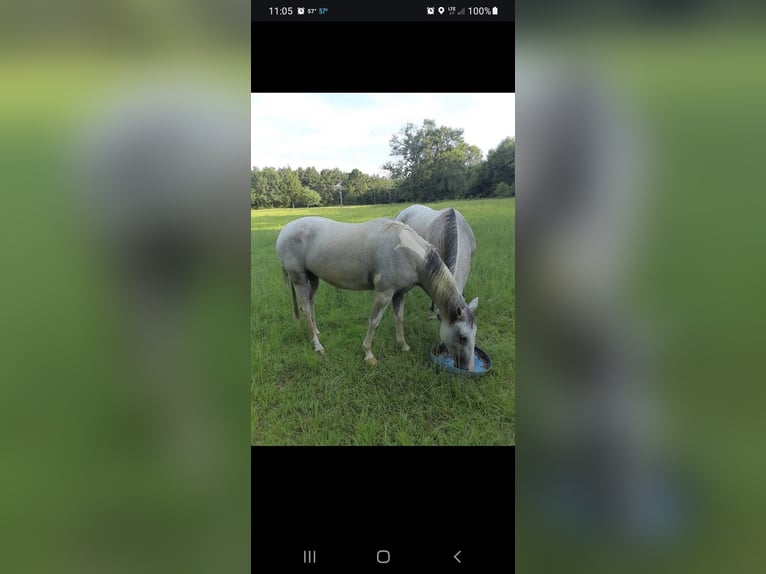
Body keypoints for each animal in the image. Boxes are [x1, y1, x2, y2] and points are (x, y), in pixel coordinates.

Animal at [276, 216, 480, 368]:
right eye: (462, 337)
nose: (467, 367)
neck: (407, 251)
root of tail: (284, 230)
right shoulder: (383, 293)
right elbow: (374, 322)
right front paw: (368, 354)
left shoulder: (399, 294)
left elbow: (399, 318)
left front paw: (403, 346)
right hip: (300, 279)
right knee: (306, 310)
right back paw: (318, 346)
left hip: (313, 278)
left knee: (311, 305)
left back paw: (317, 333)